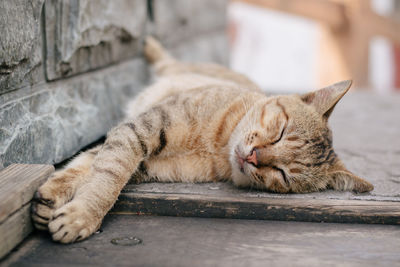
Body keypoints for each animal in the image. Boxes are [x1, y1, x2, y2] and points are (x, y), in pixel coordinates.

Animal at [31, 36, 372, 244]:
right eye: (281, 131)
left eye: (283, 175)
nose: (253, 157)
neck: (216, 147)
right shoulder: (139, 129)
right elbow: (107, 176)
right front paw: (82, 215)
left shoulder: (143, 161)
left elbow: (90, 167)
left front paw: (57, 204)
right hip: (178, 70)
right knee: (167, 60)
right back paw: (149, 44)